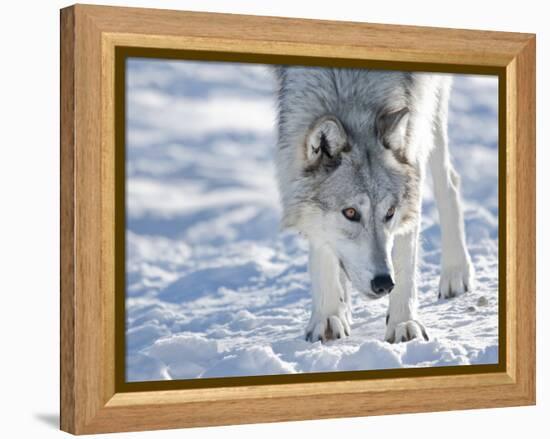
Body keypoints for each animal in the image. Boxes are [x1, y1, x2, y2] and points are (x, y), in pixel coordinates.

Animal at [274, 67, 476, 346]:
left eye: (390, 213)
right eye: (350, 213)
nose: (383, 283)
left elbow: (405, 255)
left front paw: (404, 323)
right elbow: (322, 245)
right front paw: (328, 316)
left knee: (449, 182)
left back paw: (456, 272)